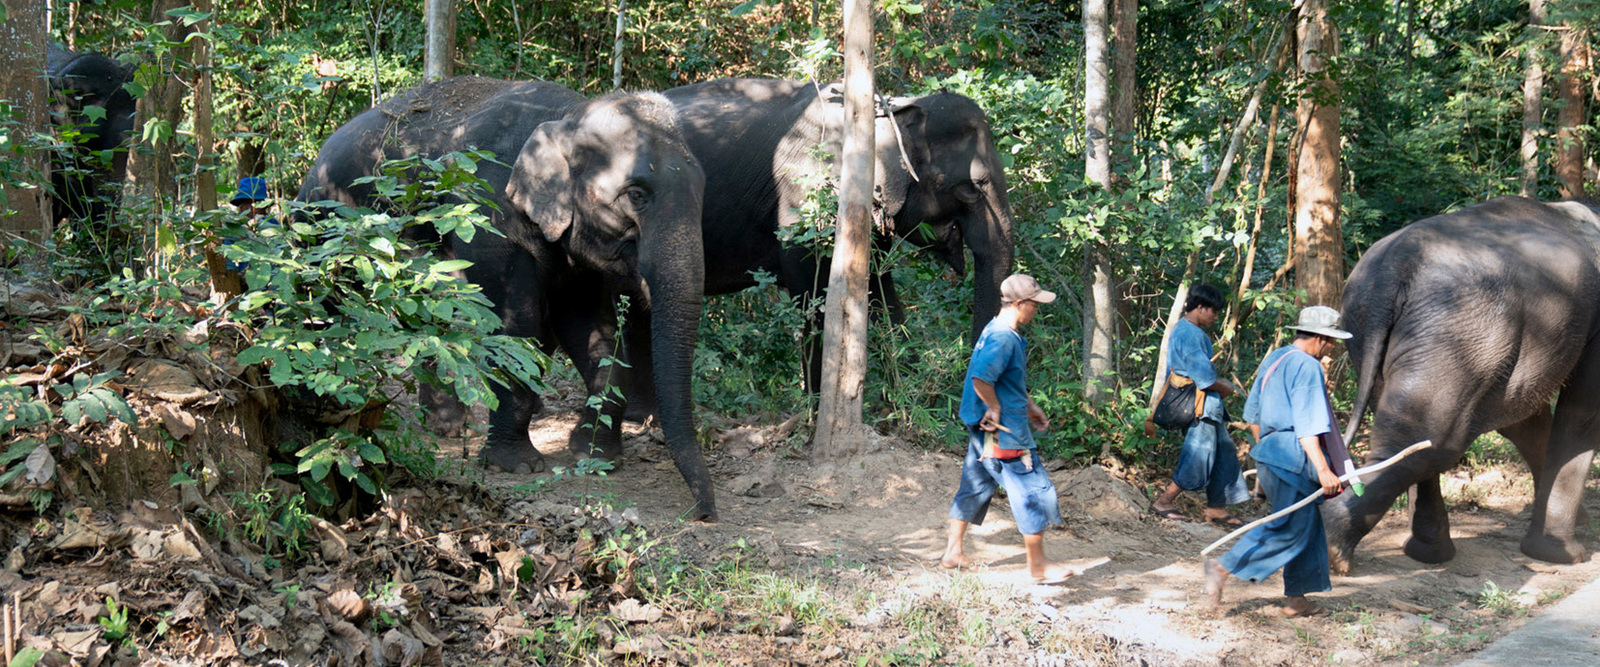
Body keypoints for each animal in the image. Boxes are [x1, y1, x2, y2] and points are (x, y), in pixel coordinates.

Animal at [296, 75, 720, 518]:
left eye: (702, 191)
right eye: (637, 194)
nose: (703, 513)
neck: (569, 116)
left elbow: (592, 332)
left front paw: (595, 456)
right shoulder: (489, 219)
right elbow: (515, 330)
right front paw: (517, 466)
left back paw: (446, 427)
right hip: (328, 222)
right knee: (328, 299)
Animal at [614, 76, 1011, 409]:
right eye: (970, 188)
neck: (888, 106)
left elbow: (879, 292)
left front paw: (913, 396)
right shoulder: (807, 193)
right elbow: (811, 289)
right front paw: (817, 409)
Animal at [1324, 193, 1600, 572]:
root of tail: (1394, 266)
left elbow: (1525, 419)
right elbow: (1582, 409)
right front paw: (1565, 554)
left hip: (1380, 325)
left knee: (1416, 431)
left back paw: (1423, 553)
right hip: (1458, 330)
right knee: (1435, 441)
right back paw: (1335, 550)